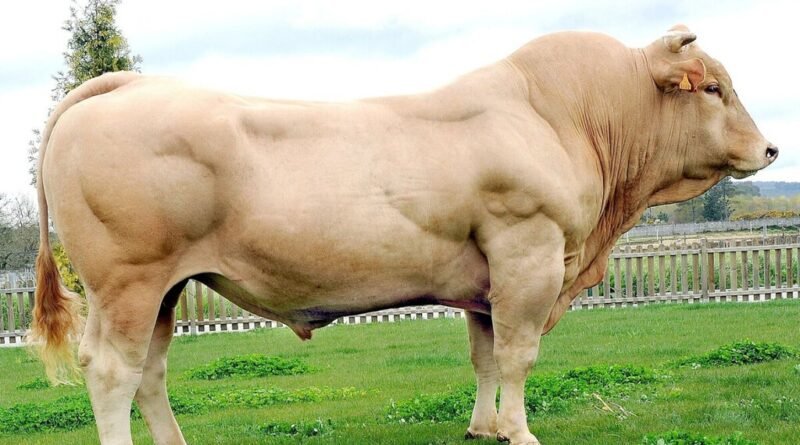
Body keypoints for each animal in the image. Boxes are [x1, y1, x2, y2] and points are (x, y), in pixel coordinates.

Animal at [30, 25, 776, 445]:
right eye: (713, 88)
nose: (770, 149)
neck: (563, 115)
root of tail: (123, 87)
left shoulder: (487, 275)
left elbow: (484, 356)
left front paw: (483, 428)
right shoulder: (527, 251)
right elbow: (518, 356)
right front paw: (520, 432)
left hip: (162, 289)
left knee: (150, 372)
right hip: (128, 281)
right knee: (113, 371)